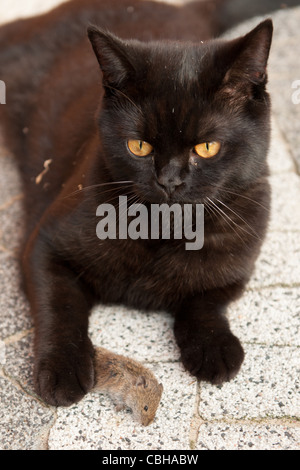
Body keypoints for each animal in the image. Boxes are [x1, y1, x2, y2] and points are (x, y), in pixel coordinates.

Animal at [0, 0, 272, 406]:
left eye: (207, 147)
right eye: (139, 146)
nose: (170, 180)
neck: (162, 231)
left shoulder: (239, 259)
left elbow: (208, 299)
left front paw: (215, 348)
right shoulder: (45, 244)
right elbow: (60, 305)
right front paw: (62, 369)